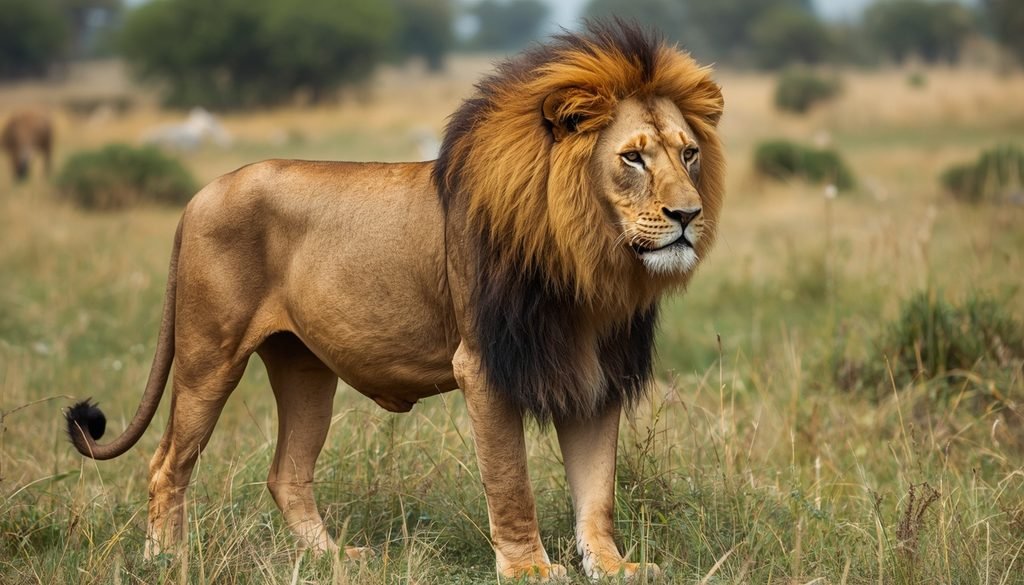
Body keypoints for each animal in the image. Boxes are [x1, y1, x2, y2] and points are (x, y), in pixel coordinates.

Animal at [65, 22, 725, 581]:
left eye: (689, 153)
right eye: (632, 157)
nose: (688, 215)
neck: (589, 262)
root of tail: (200, 194)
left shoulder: (597, 374)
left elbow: (597, 491)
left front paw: (613, 567)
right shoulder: (483, 367)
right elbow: (511, 483)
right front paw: (530, 569)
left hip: (305, 370)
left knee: (287, 474)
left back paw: (335, 559)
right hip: (209, 356)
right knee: (167, 464)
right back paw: (165, 560)